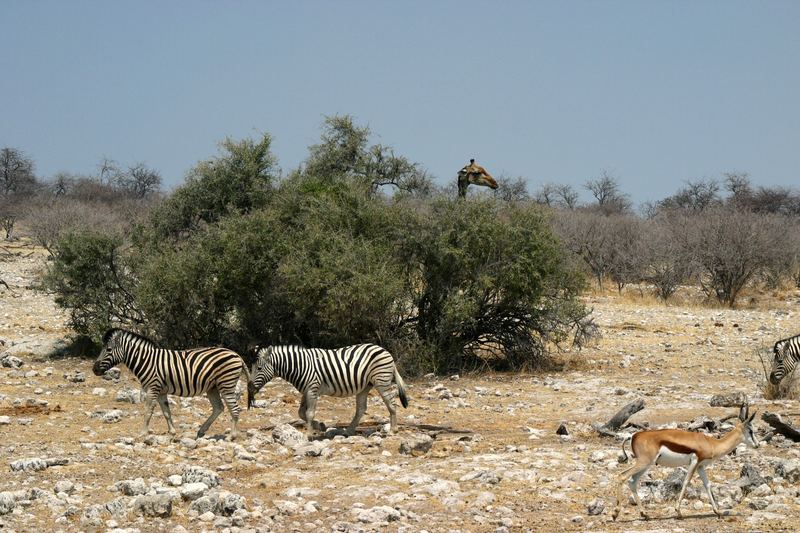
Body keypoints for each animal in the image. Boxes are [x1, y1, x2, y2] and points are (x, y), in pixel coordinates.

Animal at [91, 330, 247, 438]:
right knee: (219, 408)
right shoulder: (161, 391)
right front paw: (172, 432)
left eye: (108, 349)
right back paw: (201, 431)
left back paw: (232, 437)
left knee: (235, 409)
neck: (146, 360)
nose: (94, 369)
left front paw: (143, 433)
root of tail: (237, 355)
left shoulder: (153, 388)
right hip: (212, 387)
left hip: (226, 384)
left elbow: (148, 411)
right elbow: (166, 412)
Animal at [247, 342, 410, 438]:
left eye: (259, 368)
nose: (249, 388)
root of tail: (384, 350)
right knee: (361, 409)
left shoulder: (312, 388)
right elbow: (301, 413)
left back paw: (393, 430)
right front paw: (320, 426)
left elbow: (309, 413)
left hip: (381, 381)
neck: (299, 366)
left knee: (391, 404)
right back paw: (348, 431)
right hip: (365, 386)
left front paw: (309, 435)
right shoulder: (306, 391)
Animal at [616, 406, 760, 516]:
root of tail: (633, 436)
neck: (712, 443)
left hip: (646, 465)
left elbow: (707, 485)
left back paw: (644, 514)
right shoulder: (695, 462)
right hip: (644, 463)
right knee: (621, 476)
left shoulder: (701, 466)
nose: (757, 445)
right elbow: (686, 482)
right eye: (751, 430)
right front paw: (678, 511)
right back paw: (615, 514)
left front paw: (717, 511)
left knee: (632, 482)